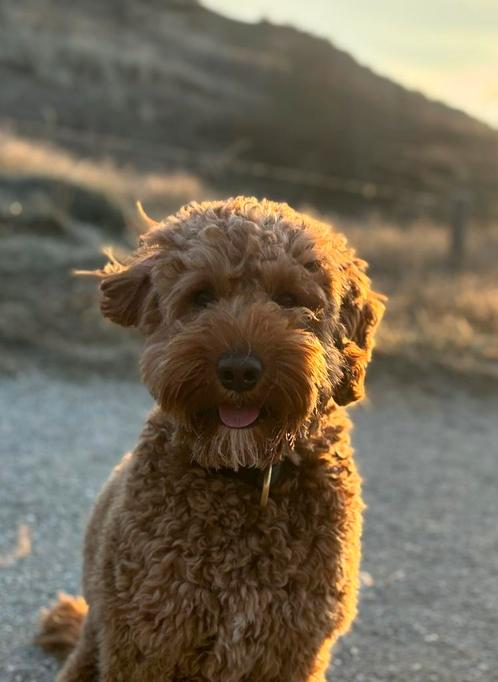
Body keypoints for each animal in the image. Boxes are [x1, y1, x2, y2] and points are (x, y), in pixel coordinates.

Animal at [37, 197, 386, 680]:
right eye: (201, 296)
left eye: (289, 298)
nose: (239, 369)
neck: (247, 473)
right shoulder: (144, 641)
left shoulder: (294, 649)